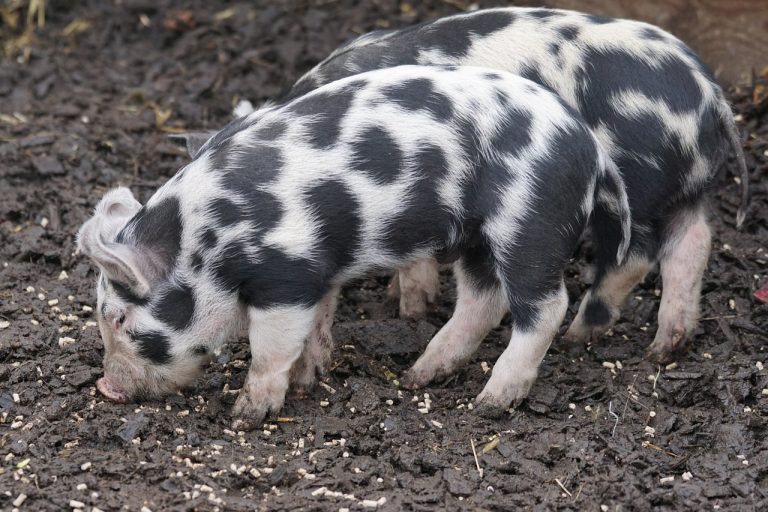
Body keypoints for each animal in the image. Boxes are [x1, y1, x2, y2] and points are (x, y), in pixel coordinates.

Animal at [78, 65, 631, 426]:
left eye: (120, 318)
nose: (107, 386)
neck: (207, 238)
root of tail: (590, 149)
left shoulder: (286, 274)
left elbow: (270, 347)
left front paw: (247, 414)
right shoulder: (320, 272)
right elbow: (315, 328)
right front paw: (308, 379)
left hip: (528, 221)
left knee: (546, 305)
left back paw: (490, 403)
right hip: (479, 236)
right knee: (483, 299)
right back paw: (418, 376)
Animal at [181, 6, 749, 362]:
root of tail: (712, 97)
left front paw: (409, 306)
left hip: (637, 183)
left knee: (637, 255)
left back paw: (580, 334)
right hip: (682, 192)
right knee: (694, 241)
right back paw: (668, 345)